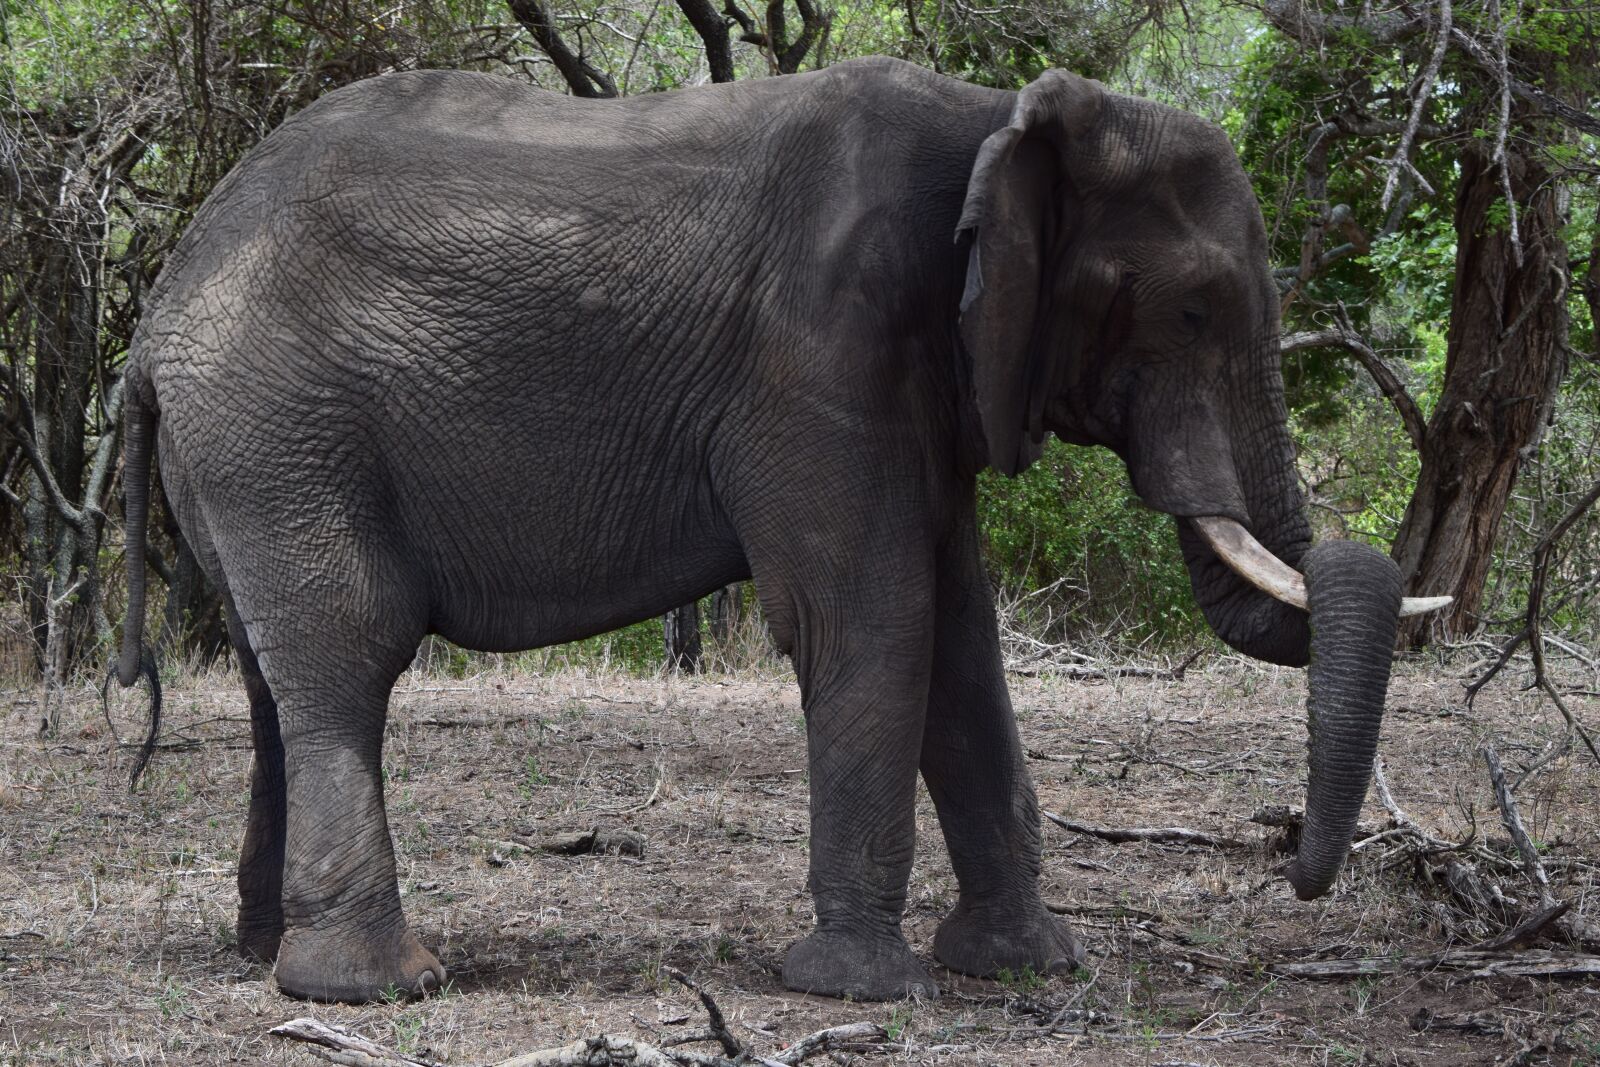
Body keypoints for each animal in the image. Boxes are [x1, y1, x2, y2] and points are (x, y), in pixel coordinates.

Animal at [114, 56, 1446, 1003]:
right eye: (1191, 309)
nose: (1291, 864)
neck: (996, 122)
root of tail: (160, 303)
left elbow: (959, 639)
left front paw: (1023, 966)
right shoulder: (825, 353)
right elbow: (872, 618)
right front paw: (861, 987)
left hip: (244, 449)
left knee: (274, 677)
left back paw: (261, 954)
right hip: (280, 425)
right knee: (348, 654)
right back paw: (374, 987)